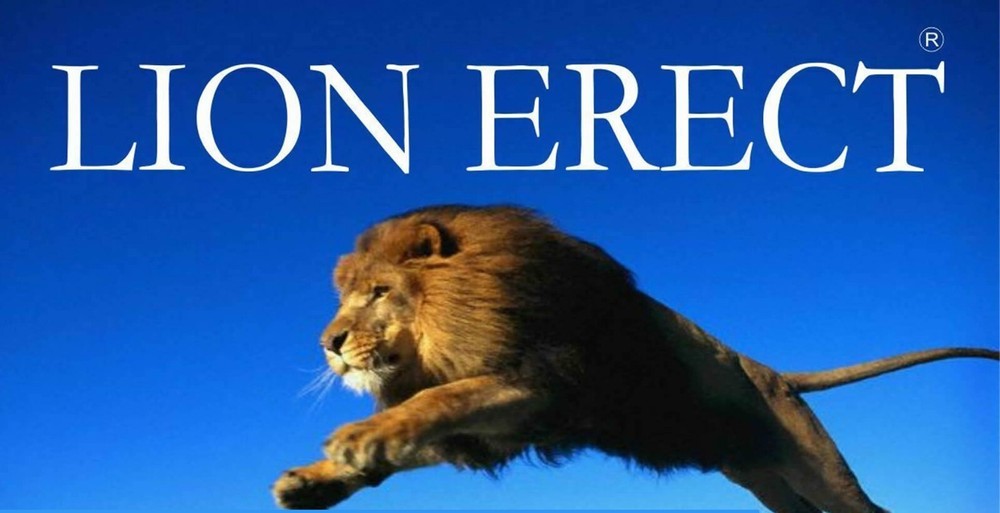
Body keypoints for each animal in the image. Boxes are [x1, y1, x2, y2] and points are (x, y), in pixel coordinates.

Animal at [272, 204, 998, 513]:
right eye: (345, 298)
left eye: (378, 292)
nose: (328, 344)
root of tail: (771, 373)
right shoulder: (504, 425)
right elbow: (420, 432)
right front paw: (316, 479)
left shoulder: (548, 382)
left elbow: (438, 399)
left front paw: (357, 437)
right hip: (765, 482)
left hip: (817, 468)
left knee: (866, 508)